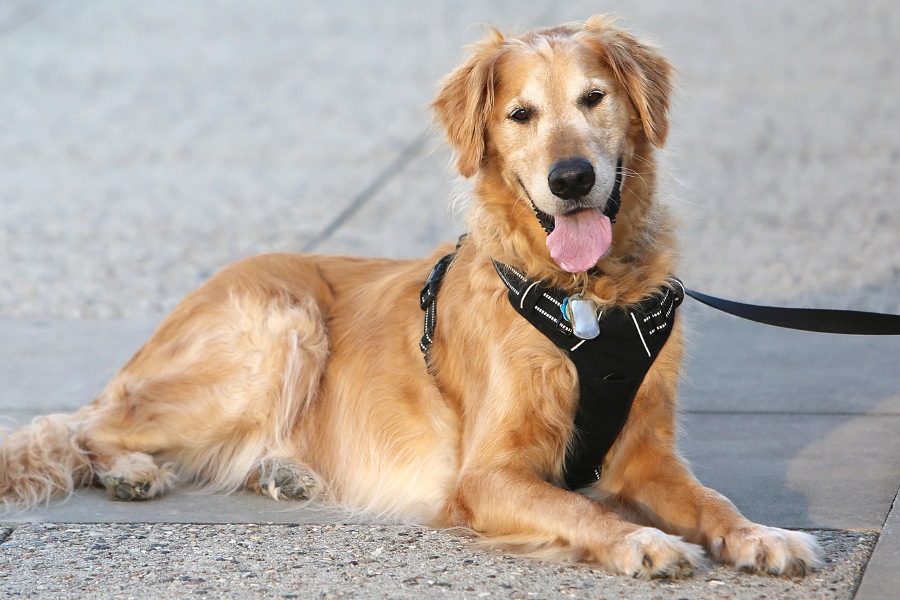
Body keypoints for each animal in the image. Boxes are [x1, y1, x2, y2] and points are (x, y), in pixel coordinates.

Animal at [3, 17, 828, 576]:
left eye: (595, 98)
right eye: (520, 114)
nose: (571, 179)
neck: (581, 300)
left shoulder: (647, 455)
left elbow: (712, 501)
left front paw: (761, 535)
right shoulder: (487, 474)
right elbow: (578, 505)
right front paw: (643, 541)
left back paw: (282, 469)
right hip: (280, 332)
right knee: (86, 426)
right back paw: (132, 470)